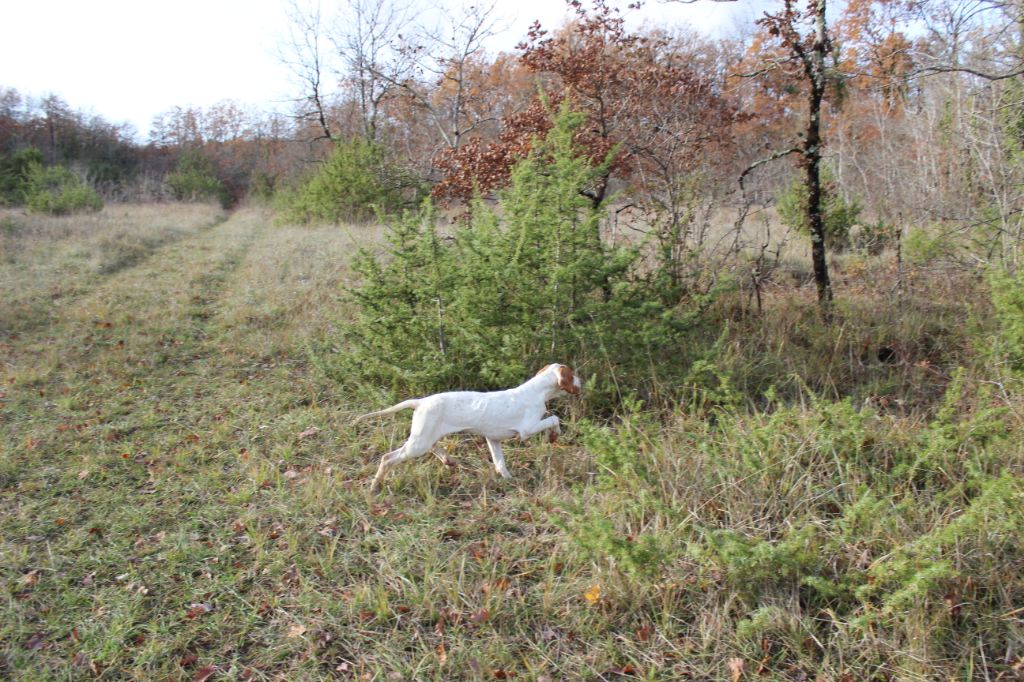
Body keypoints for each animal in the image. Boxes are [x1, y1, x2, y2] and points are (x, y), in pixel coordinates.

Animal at [356, 360, 581, 489]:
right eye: (572, 374)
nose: (582, 381)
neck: (536, 390)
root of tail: (420, 402)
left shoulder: (493, 439)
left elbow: (500, 464)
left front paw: (510, 481)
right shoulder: (527, 430)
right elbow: (554, 418)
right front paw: (554, 435)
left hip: (425, 436)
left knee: (432, 447)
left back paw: (448, 460)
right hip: (418, 443)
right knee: (387, 458)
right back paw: (374, 486)